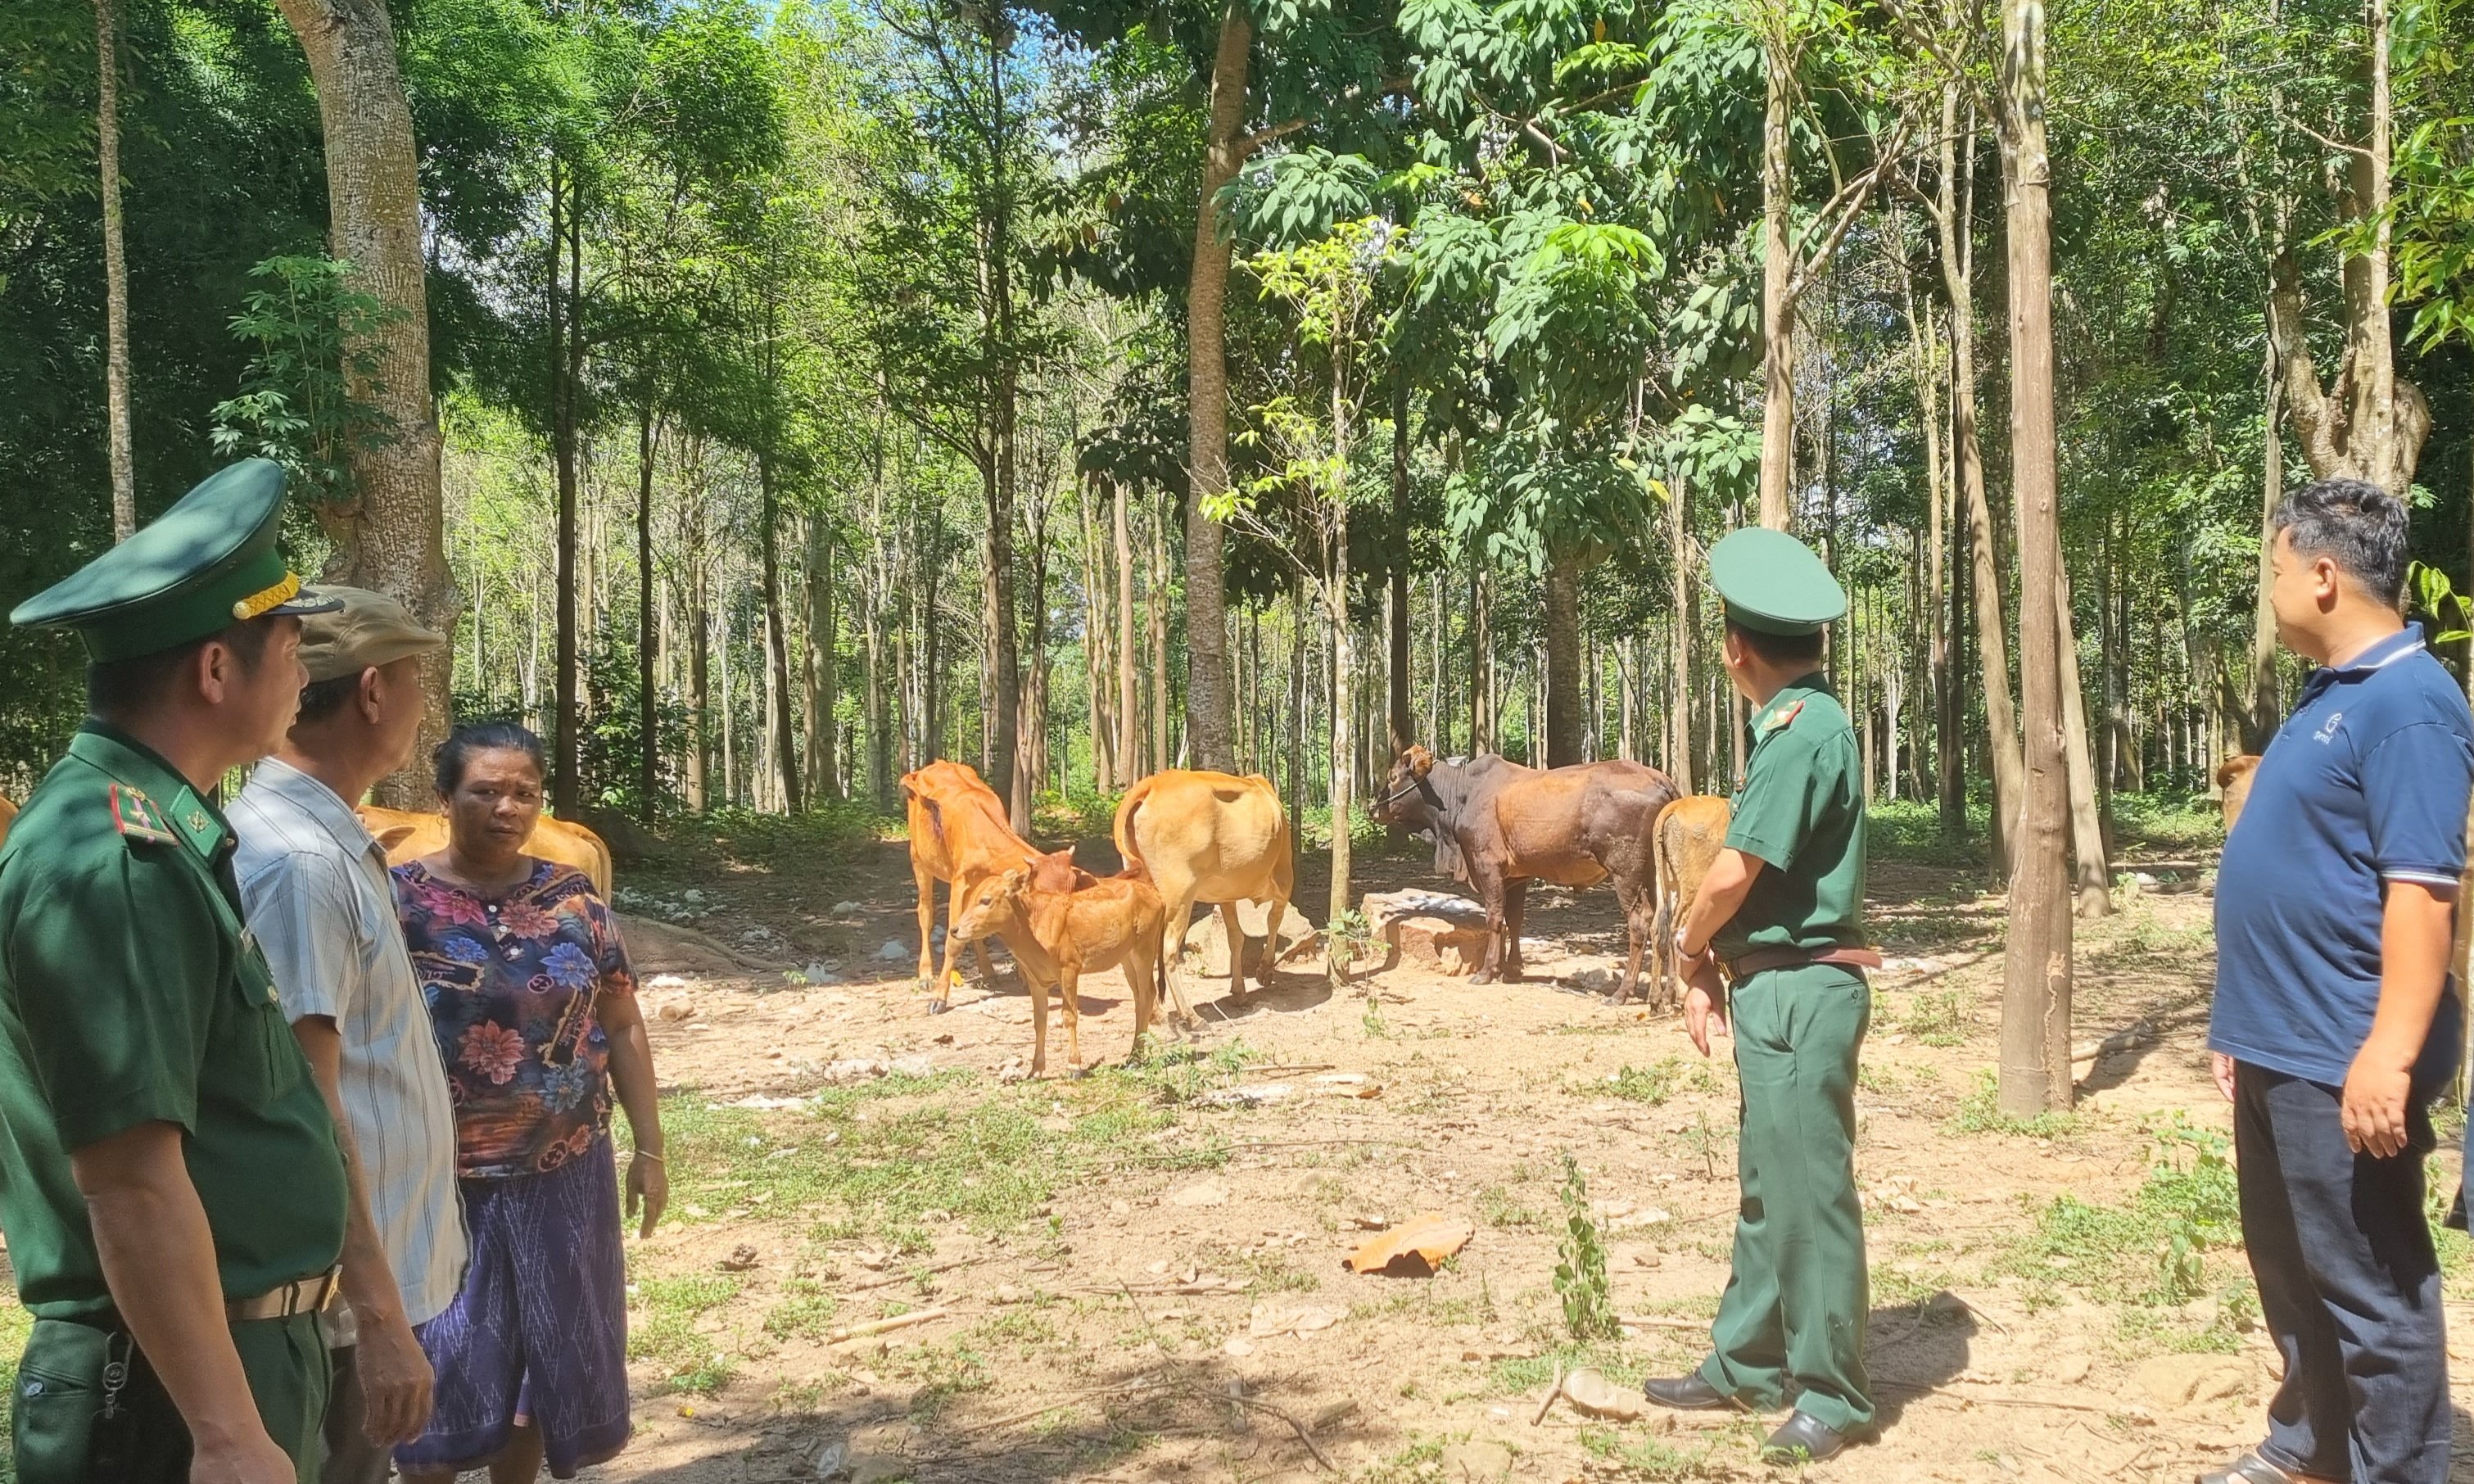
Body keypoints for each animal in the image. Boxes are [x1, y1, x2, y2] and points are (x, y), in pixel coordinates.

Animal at [955, 845, 1167, 1078]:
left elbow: (1069, 1016)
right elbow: (1040, 1020)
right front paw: (1036, 1069)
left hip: (1144, 950)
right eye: (971, 899)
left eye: (985, 900)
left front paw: (1074, 1065)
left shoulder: (1069, 969)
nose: (955, 929)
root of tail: (1155, 894)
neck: (1032, 923)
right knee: (1139, 998)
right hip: (1127, 958)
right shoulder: (1035, 979)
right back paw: (1133, 1055)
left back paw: (1135, 1058)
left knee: (1148, 994)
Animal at [1118, 771, 1306, 1024]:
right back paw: (1191, 1016)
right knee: (1169, 949)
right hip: (1180, 894)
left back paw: (1154, 1012)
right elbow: (1273, 920)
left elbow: (1236, 937)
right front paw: (1264, 970)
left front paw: (1239, 992)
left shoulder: (1226, 896)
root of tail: (1153, 783)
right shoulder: (1285, 878)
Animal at [1375, 747, 1682, 1004]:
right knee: (1667, 922)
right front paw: (1512, 968)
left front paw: (1487, 971)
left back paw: (1622, 992)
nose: (1373, 808)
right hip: (1657, 874)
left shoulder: (1488, 867)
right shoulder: (1516, 877)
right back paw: (1666, 995)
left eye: (1393, 776)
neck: (1462, 795)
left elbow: (1495, 919)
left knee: (1640, 921)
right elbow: (1515, 920)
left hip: (1625, 872)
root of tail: (1659, 779)